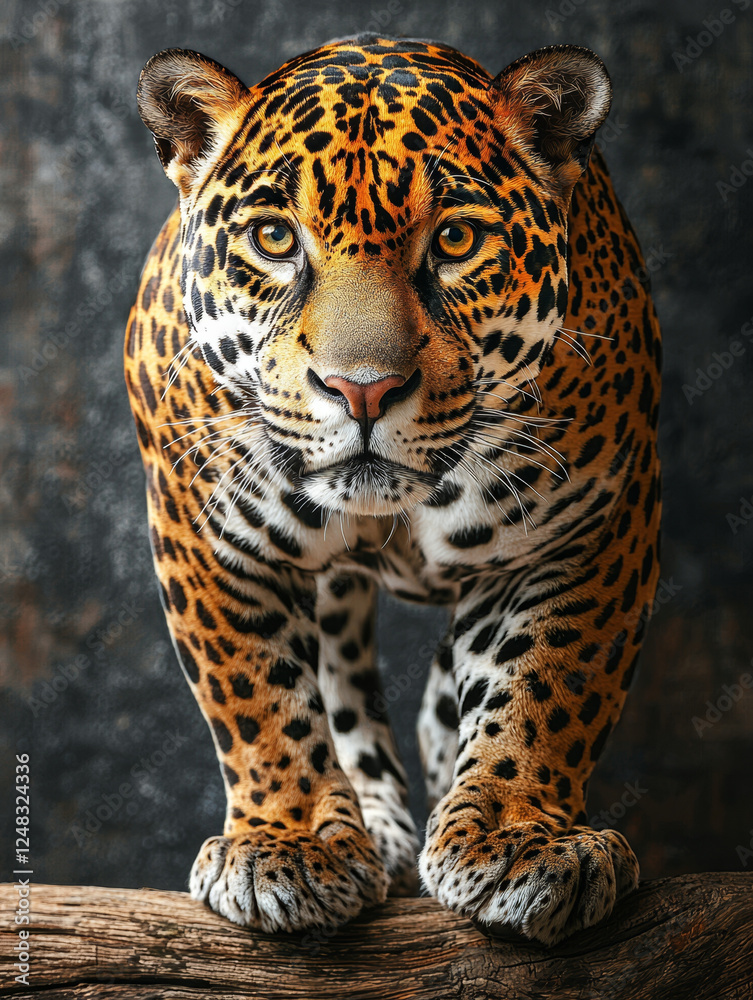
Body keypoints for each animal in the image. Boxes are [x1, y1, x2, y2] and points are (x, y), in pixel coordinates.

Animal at [124, 33, 662, 946]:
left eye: (455, 240)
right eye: (274, 238)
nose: (363, 389)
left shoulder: (594, 527)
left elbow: (549, 681)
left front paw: (518, 837)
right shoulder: (203, 528)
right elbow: (256, 695)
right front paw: (288, 845)